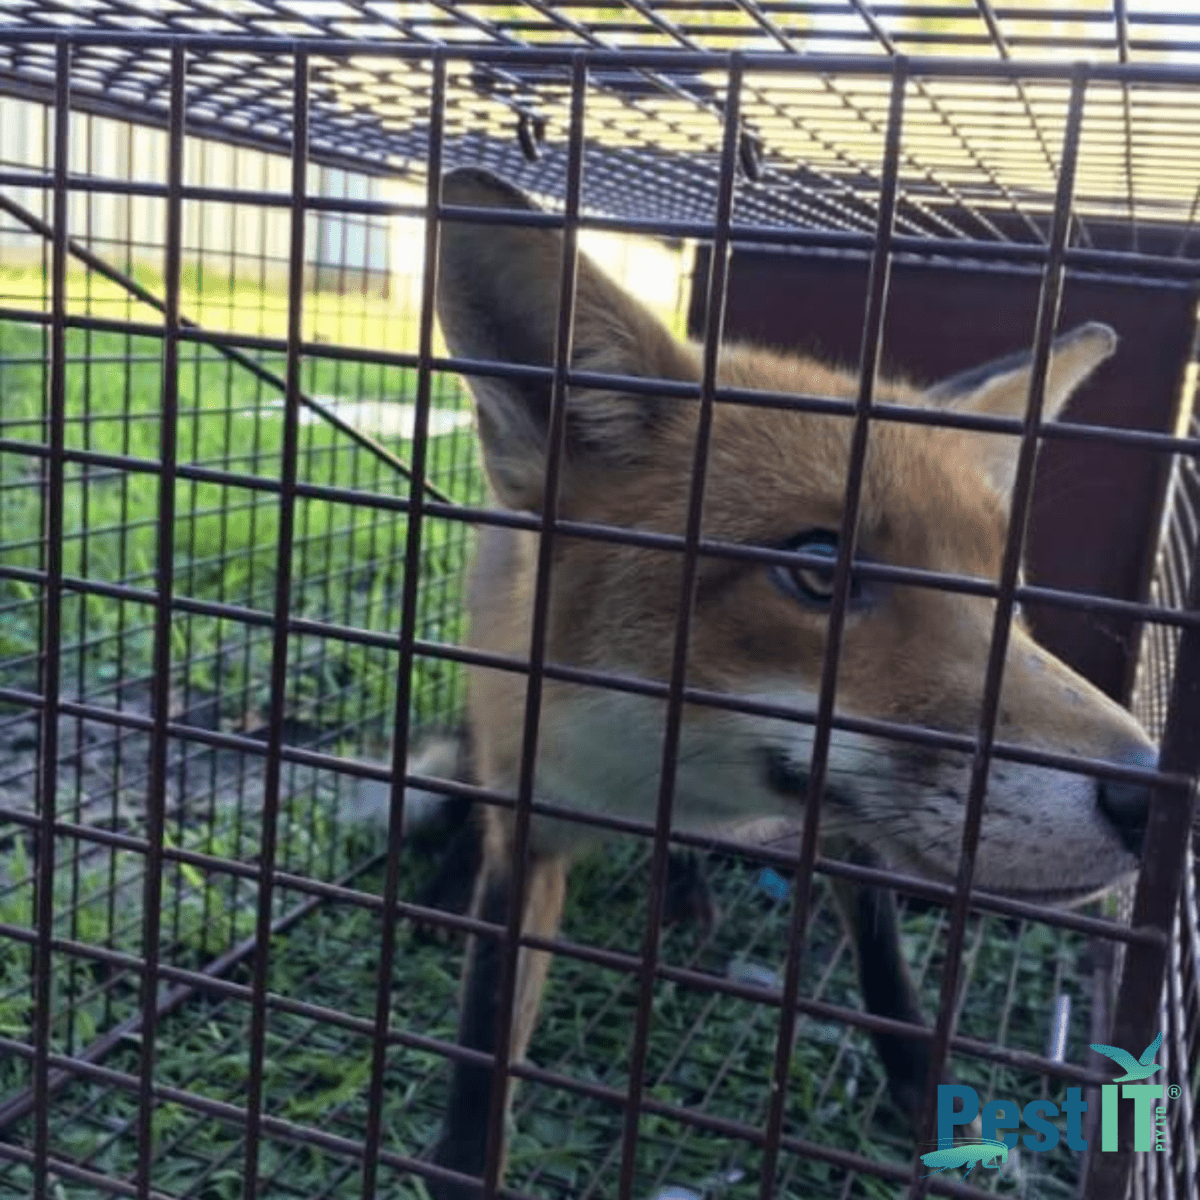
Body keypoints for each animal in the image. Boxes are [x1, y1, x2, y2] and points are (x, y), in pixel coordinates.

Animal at [415, 166, 1155, 1200]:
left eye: (1003, 591)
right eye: (817, 570)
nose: (1153, 795)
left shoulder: (842, 835)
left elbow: (888, 978)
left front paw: (926, 1098)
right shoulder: (531, 814)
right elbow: (487, 1028)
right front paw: (460, 1159)